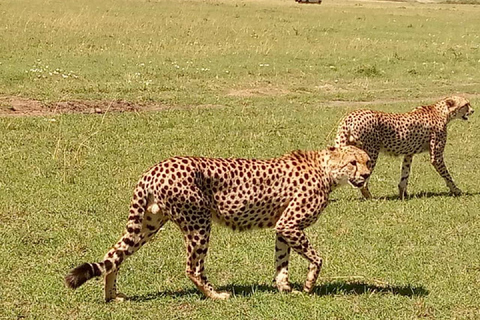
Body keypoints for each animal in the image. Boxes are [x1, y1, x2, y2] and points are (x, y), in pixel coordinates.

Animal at [63, 146, 372, 302]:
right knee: (193, 268)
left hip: (147, 224)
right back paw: (216, 296)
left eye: (368, 161)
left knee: (113, 256)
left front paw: (285, 288)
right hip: (198, 222)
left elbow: (281, 261)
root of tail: (154, 168)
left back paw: (112, 297)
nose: (367, 175)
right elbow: (317, 258)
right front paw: (308, 285)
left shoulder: (283, 228)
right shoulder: (290, 225)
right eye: (353, 162)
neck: (326, 169)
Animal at [336, 95, 474, 200]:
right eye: (466, 104)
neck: (441, 112)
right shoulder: (437, 157)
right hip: (370, 153)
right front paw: (456, 190)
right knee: (363, 181)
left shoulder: (409, 154)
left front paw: (403, 194)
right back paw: (370, 197)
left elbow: (405, 174)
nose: (473, 110)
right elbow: (447, 174)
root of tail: (350, 116)